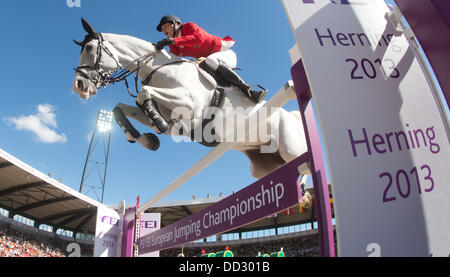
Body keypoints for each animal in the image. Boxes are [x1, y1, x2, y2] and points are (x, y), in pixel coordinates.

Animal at [71, 19, 310, 179]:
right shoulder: (172, 119)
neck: (158, 69)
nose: (79, 86)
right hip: (264, 165)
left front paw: (152, 130)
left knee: (304, 167)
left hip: (291, 149)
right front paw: (146, 139)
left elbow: (143, 93)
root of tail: (292, 116)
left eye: (90, 48)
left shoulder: (189, 105)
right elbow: (120, 107)